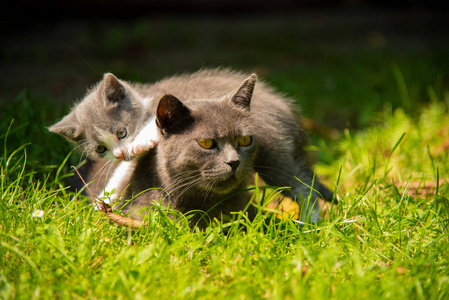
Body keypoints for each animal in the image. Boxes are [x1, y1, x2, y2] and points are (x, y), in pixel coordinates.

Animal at [50, 68, 334, 227]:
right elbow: (122, 174)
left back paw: (309, 223)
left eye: (122, 132)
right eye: (100, 149)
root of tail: (286, 108)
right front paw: (105, 201)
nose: (119, 152)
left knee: (302, 185)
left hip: (273, 151)